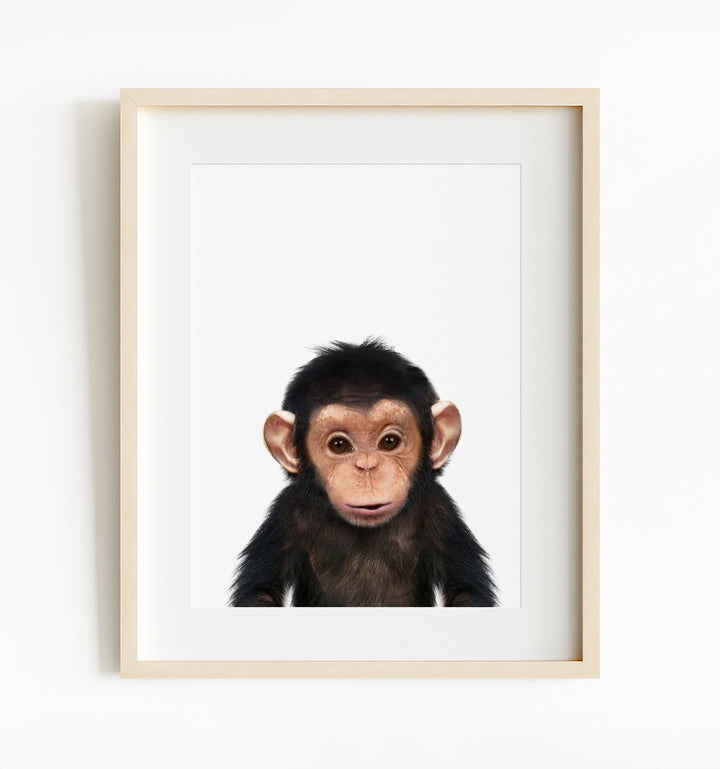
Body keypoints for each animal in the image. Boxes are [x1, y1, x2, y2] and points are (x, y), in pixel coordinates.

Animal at [229, 339, 497, 607]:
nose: (367, 467)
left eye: (389, 442)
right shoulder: (285, 513)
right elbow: (261, 590)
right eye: (339, 445)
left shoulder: (440, 511)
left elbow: (466, 590)